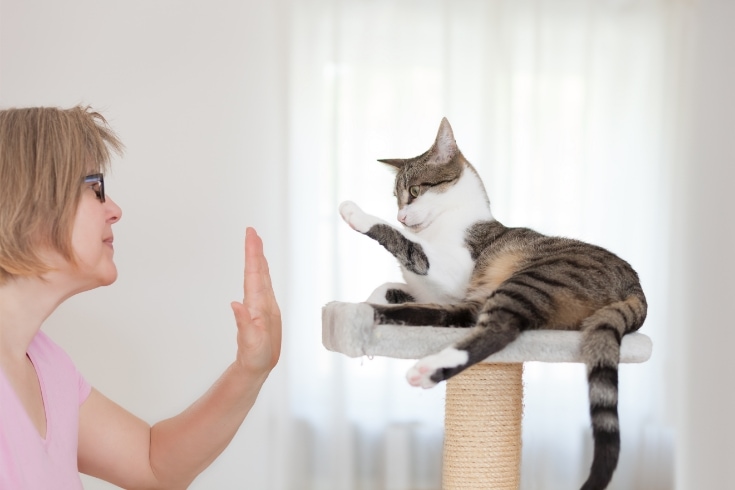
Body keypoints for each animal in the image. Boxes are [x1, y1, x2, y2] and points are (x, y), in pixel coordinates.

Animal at [336, 117, 648, 490]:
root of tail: (635, 284)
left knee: (500, 328)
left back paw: (425, 366)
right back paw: (373, 314)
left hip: (533, 278)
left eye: (415, 191)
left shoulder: (447, 271)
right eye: (396, 197)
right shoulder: (439, 293)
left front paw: (357, 214)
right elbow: (389, 284)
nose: (401, 216)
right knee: (461, 317)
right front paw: (368, 300)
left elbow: (407, 247)